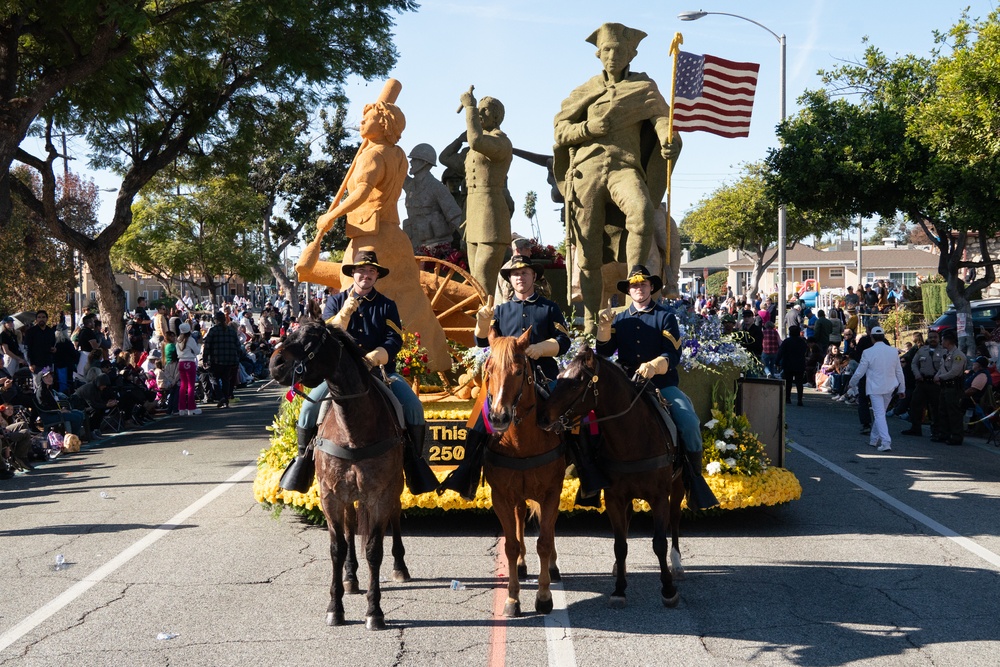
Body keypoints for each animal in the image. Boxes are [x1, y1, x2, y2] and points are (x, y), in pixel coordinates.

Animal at [270, 314, 410, 632]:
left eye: (311, 340)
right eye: (291, 330)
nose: (275, 363)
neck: (353, 430)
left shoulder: (380, 495)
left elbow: (373, 549)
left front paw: (375, 611)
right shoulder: (331, 496)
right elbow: (337, 547)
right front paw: (335, 607)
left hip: (393, 488)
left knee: (395, 519)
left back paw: (400, 567)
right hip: (347, 497)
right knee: (349, 528)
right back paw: (350, 576)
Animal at [486, 328, 568, 616]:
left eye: (519, 370)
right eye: (489, 369)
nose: (499, 417)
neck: (521, 443)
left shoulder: (552, 491)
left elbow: (544, 541)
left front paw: (543, 596)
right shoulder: (500, 496)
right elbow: (510, 545)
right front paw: (512, 597)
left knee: (548, 527)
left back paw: (553, 566)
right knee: (521, 516)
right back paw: (521, 564)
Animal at [540, 350, 688, 612]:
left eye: (576, 383)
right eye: (559, 376)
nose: (542, 416)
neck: (632, 437)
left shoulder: (659, 496)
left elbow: (659, 542)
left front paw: (669, 590)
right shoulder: (614, 498)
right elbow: (620, 545)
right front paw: (619, 589)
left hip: (677, 486)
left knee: (675, 520)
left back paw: (677, 564)